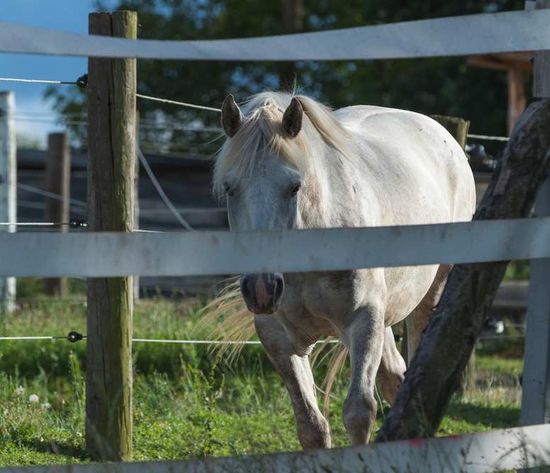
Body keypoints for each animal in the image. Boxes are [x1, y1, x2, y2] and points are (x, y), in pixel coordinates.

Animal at [216, 91, 478, 446]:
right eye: (230, 188)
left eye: (294, 186)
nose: (261, 289)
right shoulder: (279, 338)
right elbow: (311, 425)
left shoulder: (362, 320)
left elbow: (358, 412)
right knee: (394, 378)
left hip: (431, 295)